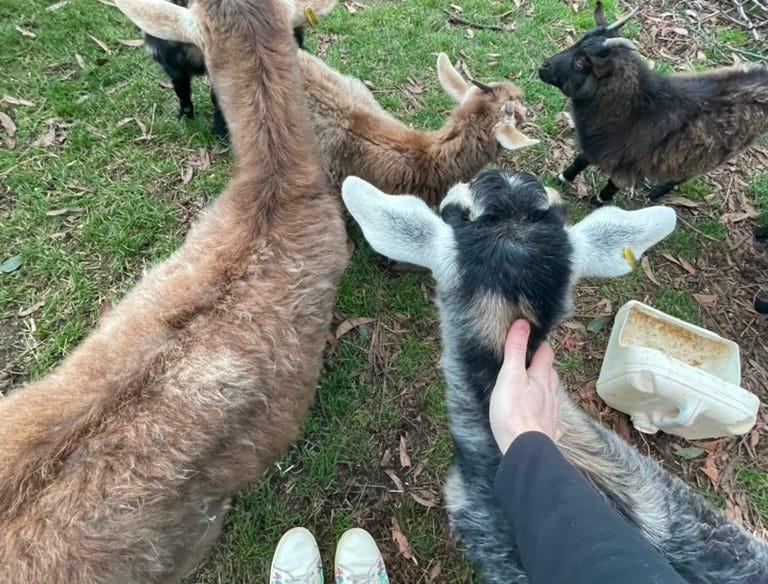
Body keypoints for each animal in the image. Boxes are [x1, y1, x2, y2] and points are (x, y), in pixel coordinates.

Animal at [538, 2, 768, 205]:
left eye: (581, 61)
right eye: (577, 42)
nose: (543, 67)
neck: (634, 108)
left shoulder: (628, 162)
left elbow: (614, 183)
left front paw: (599, 200)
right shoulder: (598, 144)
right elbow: (580, 161)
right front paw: (561, 178)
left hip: (711, 155)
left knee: (684, 174)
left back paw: (658, 191)